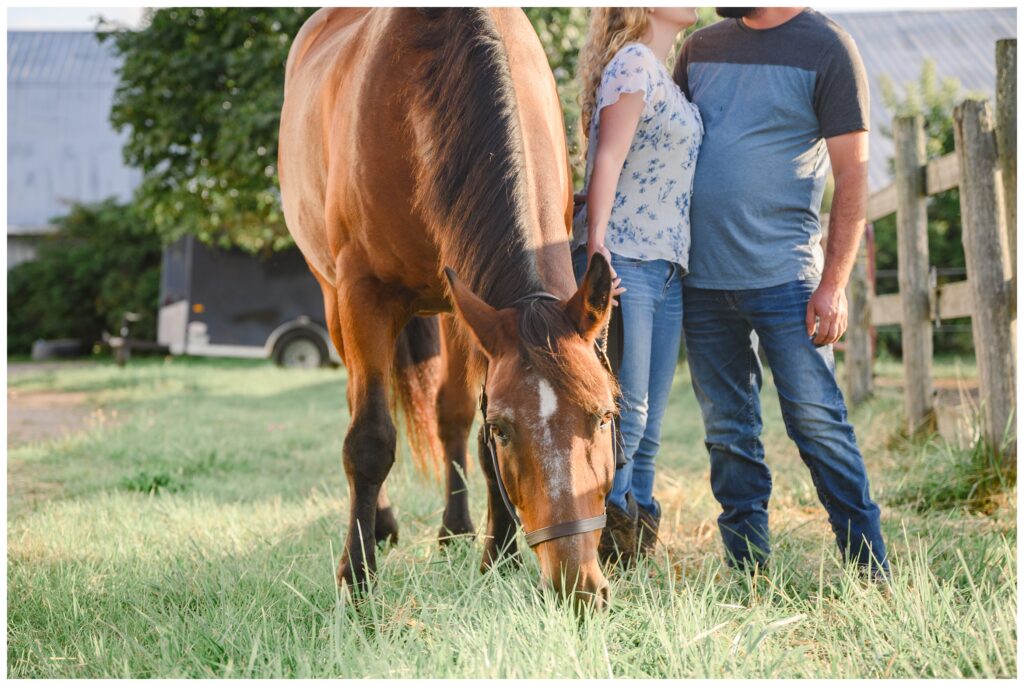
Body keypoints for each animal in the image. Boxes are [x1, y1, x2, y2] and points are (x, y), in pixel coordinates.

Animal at [278, 8, 614, 610]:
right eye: (506, 429)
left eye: (603, 417)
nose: (577, 586)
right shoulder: (363, 295)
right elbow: (370, 439)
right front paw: (357, 578)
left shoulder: (471, 309)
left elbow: (464, 424)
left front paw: (496, 555)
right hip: (333, 296)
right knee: (359, 402)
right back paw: (381, 526)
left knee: (449, 414)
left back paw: (455, 529)